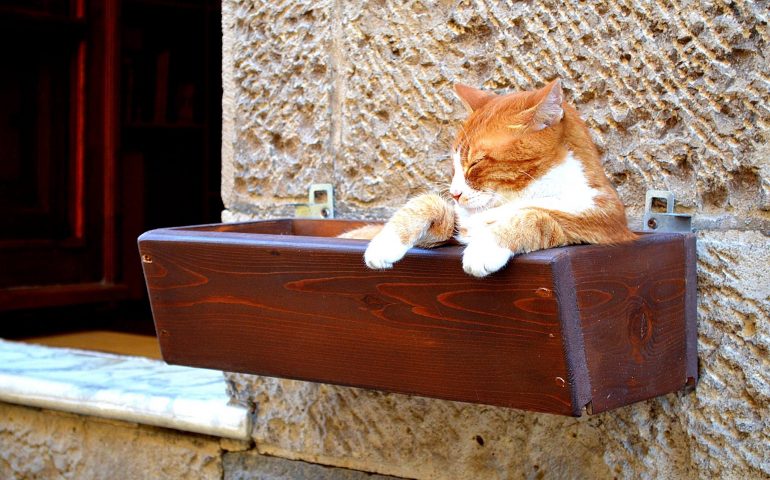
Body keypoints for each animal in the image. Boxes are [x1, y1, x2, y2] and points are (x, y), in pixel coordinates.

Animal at [344, 79, 632, 278]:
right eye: (454, 165)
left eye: (475, 163)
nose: (455, 193)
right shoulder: (455, 232)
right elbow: (427, 204)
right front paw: (383, 244)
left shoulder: (597, 225)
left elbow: (533, 216)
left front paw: (484, 248)